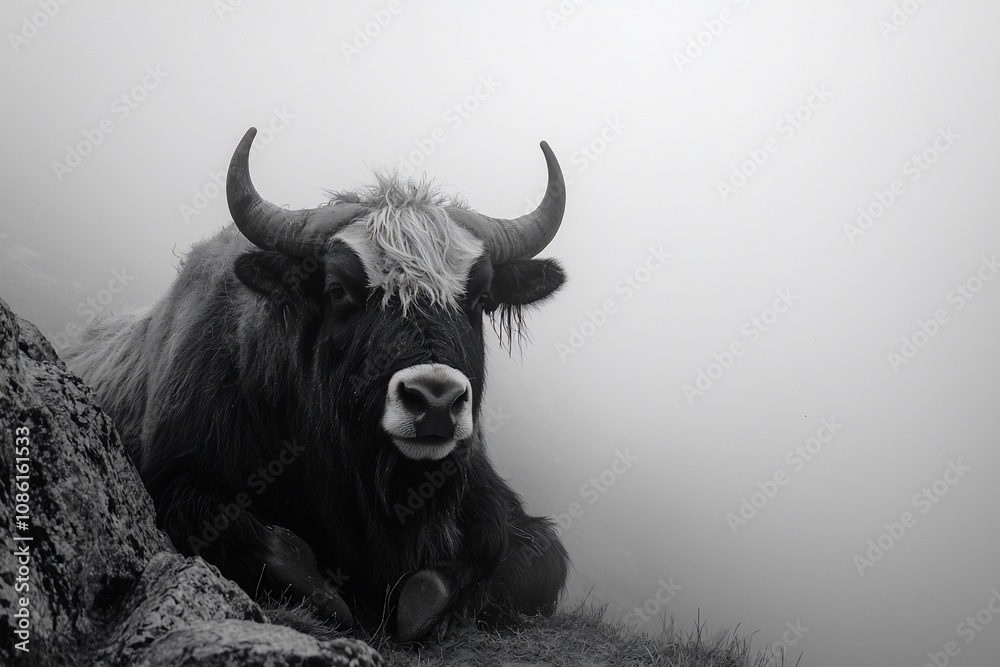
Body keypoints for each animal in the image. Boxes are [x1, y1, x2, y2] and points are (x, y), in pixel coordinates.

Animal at [64, 127, 570, 642]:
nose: (435, 402)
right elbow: (278, 549)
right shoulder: (177, 480)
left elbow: (531, 556)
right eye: (338, 289)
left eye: (481, 297)